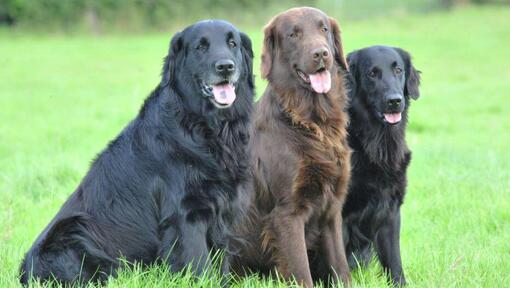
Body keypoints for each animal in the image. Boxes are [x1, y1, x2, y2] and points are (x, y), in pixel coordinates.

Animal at [19, 19, 255, 284]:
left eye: (232, 43)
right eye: (200, 46)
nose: (225, 66)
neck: (205, 127)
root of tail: (23, 272)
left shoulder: (225, 209)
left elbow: (220, 258)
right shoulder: (186, 212)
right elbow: (198, 263)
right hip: (75, 230)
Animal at [233, 7, 352, 288]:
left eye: (324, 29)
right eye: (292, 35)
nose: (321, 53)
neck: (311, 124)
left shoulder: (332, 210)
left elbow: (341, 268)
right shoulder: (287, 213)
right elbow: (301, 271)